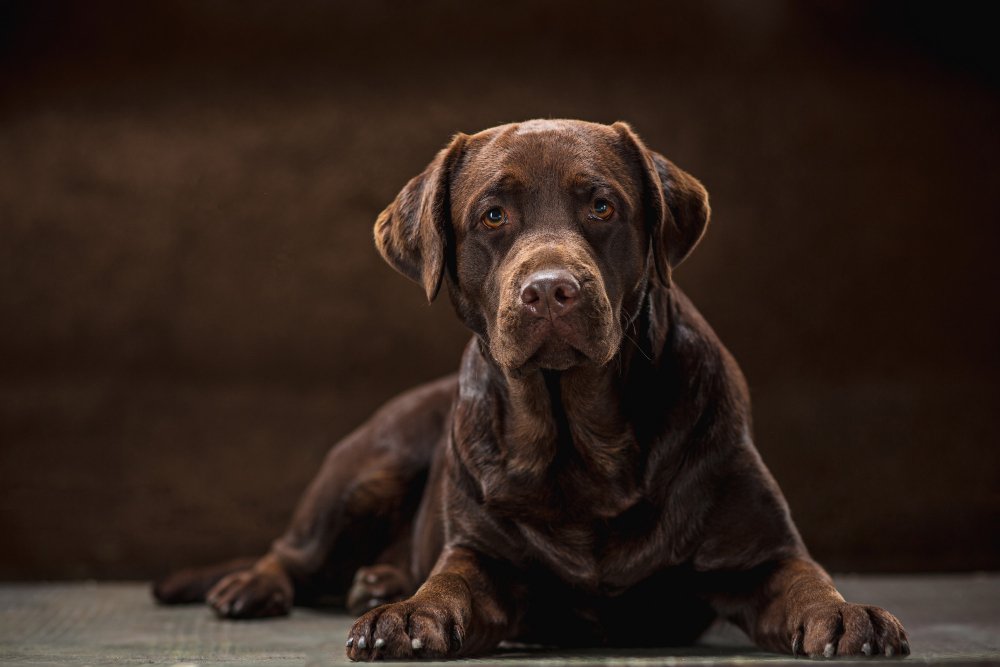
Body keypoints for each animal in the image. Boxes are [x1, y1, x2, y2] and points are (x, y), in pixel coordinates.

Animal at [152, 118, 912, 656]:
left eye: (602, 205)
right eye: (492, 215)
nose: (550, 289)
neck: (582, 445)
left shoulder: (760, 553)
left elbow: (806, 579)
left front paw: (848, 615)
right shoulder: (483, 554)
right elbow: (449, 581)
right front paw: (408, 614)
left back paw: (377, 576)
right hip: (368, 464)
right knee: (291, 551)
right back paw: (259, 586)